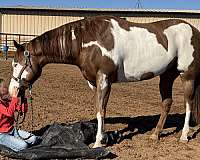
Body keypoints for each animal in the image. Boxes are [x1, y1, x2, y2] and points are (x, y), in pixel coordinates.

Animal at [9, 16, 200, 148]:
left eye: (17, 63)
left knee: (188, 104)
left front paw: (97, 143)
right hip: (167, 76)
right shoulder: (95, 83)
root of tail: (194, 30)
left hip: (187, 76)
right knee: (167, 103)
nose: (12, 90)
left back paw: (184, 136)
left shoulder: (104, 79)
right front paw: (103, 138)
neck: (86, 41)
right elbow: (100, 111)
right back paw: (155, 134)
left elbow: (101, 110)